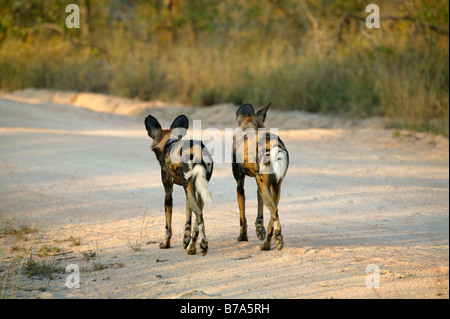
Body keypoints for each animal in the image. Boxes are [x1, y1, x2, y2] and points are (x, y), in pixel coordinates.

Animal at [145, 114, 214, 256]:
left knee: (199, 214)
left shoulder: (168, 192)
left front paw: (166, 244)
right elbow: (188, 222)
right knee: (199, 218)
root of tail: (197, 148)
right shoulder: (188, 193)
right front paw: (186, 241)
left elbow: (168, 227)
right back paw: (193, 247)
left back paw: (201, 246)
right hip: (196, 190)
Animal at [232, 104, 288, 251]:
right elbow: (260, 213)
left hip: (265, 188)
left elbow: (242, 217)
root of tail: (273, 142)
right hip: (274, 188)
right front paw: (259, 230)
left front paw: (242, 237)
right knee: (273, 215)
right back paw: (268, 244)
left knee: (274, 210)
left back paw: (278, 238)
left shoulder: (240, 186)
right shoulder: (260, 186)